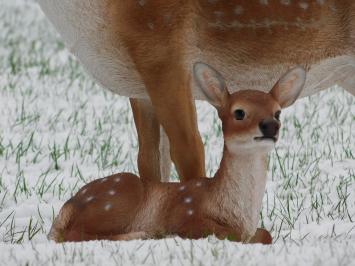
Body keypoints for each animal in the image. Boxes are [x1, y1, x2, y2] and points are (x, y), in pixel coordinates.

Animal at [48, 63, 308, 244]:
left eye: (278, 113)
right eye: (239, 112)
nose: (271, 126)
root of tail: (65, 210)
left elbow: (265, 234)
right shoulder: (186, 214)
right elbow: (227, 232)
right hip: (119, 200)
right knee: (75, 234)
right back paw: (142, 234)